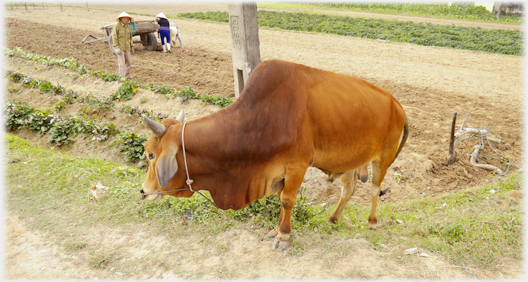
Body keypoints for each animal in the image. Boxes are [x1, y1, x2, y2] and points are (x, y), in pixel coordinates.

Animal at [140, 59, 408, 251]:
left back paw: (372, 222)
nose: (143, 191)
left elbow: (287, 200)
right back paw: (333, 219)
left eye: (151, 155)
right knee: (348, 190)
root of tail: (398, 105)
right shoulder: (279, 171)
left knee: (374, 189)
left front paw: (285, 237)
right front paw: (276, 230)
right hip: (350, 161)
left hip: (383, 157)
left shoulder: (297, 165)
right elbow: (281, 199)